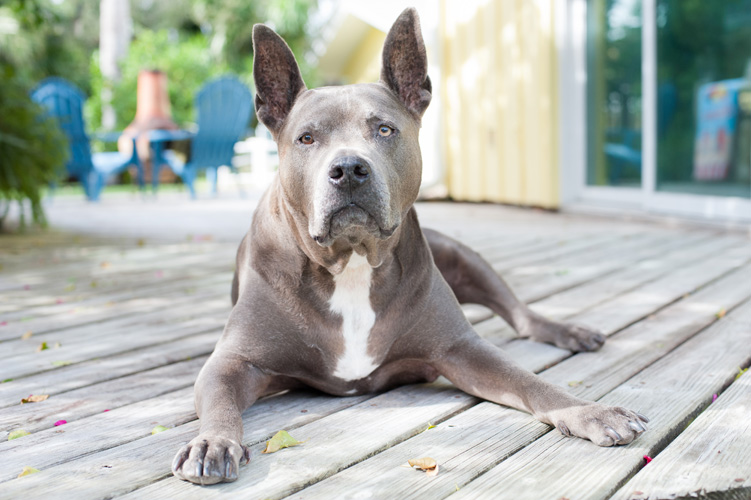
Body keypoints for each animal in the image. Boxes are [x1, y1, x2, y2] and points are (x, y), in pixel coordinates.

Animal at [172, 7, 648, 484]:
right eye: (306, 138)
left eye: (385, 129)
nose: (348, 168)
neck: (352, 262)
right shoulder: (234, 362)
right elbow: (220, 403)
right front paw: (212, 441)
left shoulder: (460, 348)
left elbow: (528, 380)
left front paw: (588, 411)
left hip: (463, 256)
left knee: (522, 315)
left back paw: (569, 332)